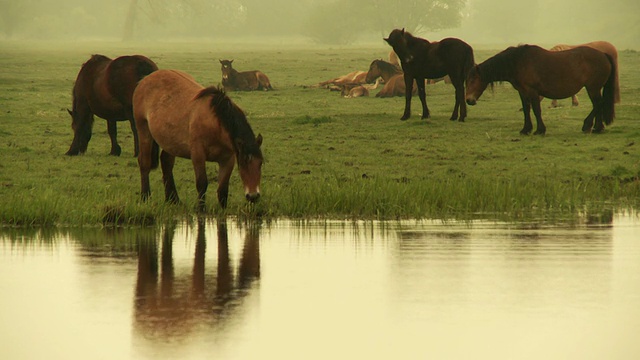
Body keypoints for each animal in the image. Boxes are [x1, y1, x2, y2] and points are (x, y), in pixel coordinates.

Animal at [134, 68, 264, 211]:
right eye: (244, 163)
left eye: (260, 163)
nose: (253, 196)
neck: (215, 122)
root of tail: (144, 80)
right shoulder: (198, 155)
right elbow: (202, 183)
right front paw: (201, 210)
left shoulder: (228, 159)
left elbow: (223, 189)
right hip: (143, 130)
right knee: (144, 162)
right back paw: (145, 197)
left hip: (170, 142)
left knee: (166, 162)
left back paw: (173, 199)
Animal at [464, 44, 616, 135]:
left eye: (472, 80)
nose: (469, 100)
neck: (519, 62)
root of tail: (604, 55)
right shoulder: (523, 92)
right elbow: (526, 110)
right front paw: (526, 129)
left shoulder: (533, 92)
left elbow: (536, 110)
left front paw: (540, 130)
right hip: (594, 88)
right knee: (598, 105)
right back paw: (597, 128)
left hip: (593, 88)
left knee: (599, 104)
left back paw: (587, 126)